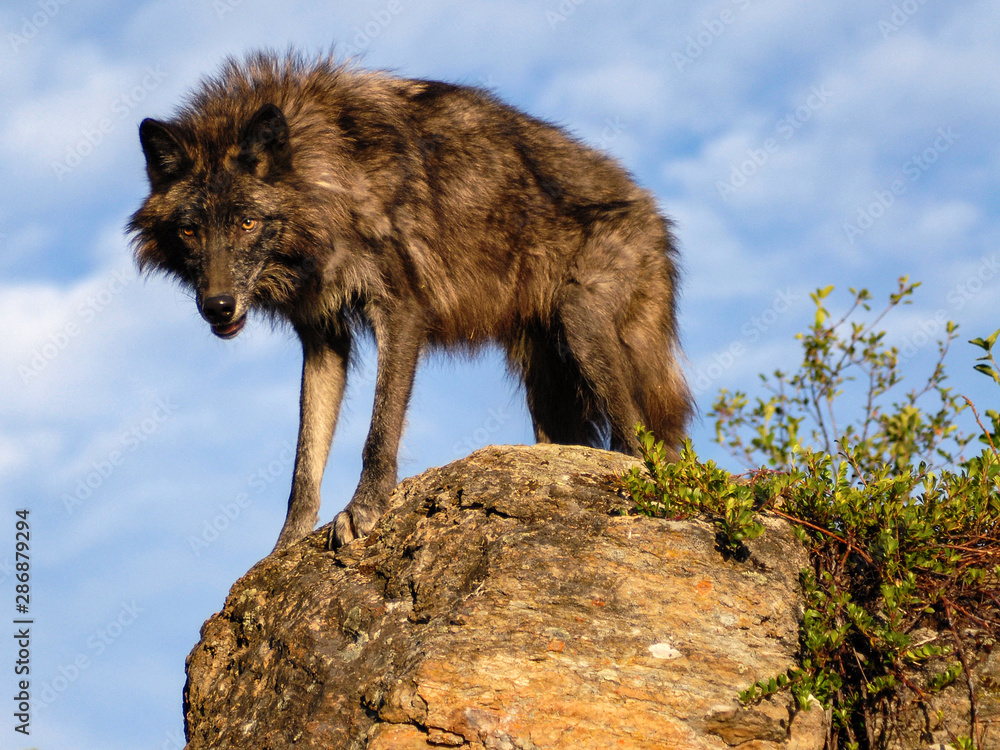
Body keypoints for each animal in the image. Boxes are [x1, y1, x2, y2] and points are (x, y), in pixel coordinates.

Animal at [128, 50, 692, 550]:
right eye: (189, 231)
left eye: (246, 223)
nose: (218, 306)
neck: (330, 174)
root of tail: (653, 212)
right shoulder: (323, 337)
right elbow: (304, 465)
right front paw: (282, 549)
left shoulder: (400, 311)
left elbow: (379, 431)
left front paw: (364, 509)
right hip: (548, 389)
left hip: (580, 326)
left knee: (640, 444)